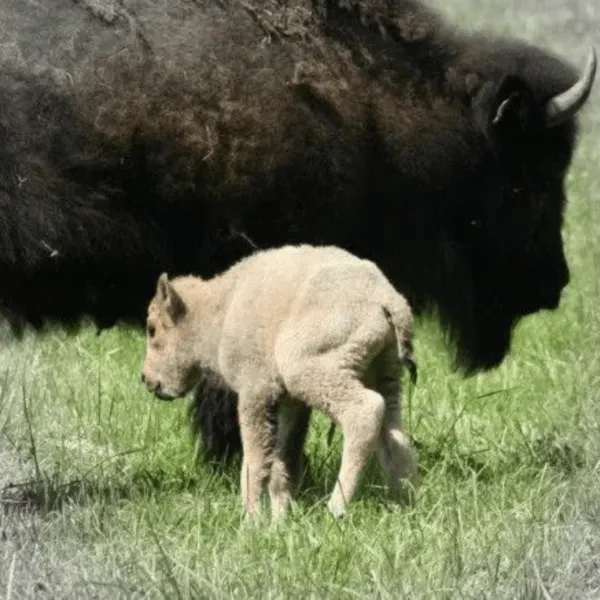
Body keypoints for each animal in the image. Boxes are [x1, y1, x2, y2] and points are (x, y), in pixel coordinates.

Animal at [143, 244, 420, 520]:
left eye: (152, 329)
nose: (147, 379)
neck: (220, 310)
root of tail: (386, 299)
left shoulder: (255, 392)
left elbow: (255, 462)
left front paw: (252, 519)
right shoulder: (290, 402)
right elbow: (282, 461)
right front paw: (279, 519)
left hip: (313, 371)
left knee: (365, 411)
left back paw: (336, 508)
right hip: (384, 374)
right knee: (394, 435)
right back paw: (405, 504)